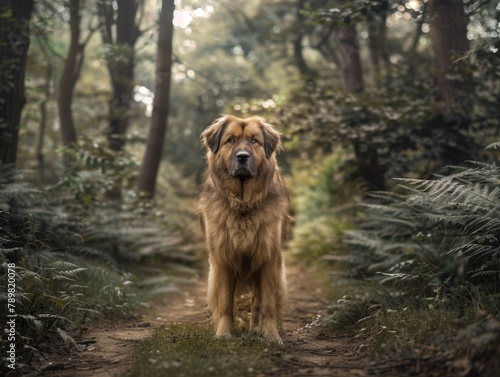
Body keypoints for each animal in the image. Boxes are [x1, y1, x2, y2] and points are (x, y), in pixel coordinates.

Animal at [198, 114, 292, 340]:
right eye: (230, 140)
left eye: (254, 141)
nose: (242, 157)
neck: (242, 204)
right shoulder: (222, 258)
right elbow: (225, 302)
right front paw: (224, 334)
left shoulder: (268, 258)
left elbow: (267, 303)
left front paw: (271, 335)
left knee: (257, 302)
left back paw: (256, 329)